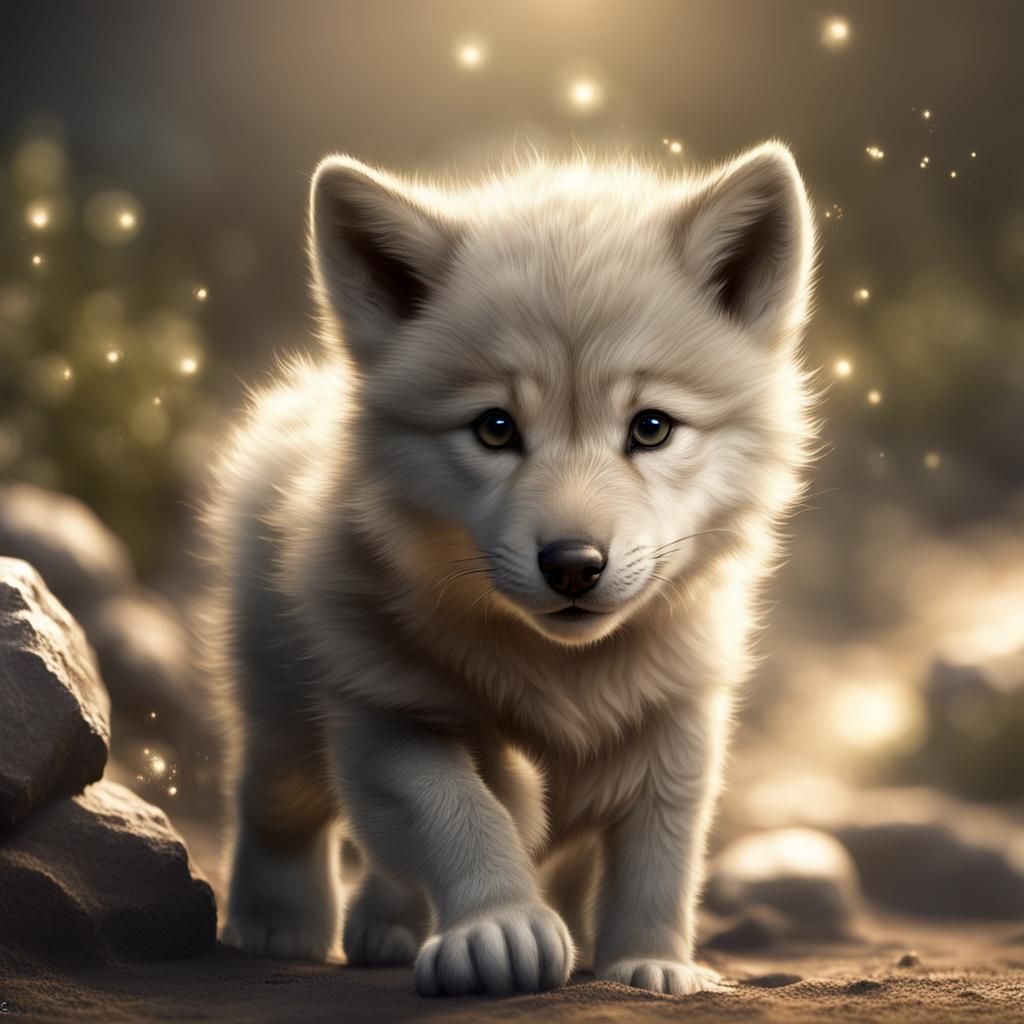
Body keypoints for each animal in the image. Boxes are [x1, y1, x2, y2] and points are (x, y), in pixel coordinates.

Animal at [208, 141, 817, 997]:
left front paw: (653, 965)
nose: (573, 566)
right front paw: (499, 929)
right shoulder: (387, 717)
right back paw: (277, 927)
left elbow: (660, 860)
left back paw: (393, 928)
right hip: (282, 717)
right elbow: (462, 814)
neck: (563, 673)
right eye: (496, 429)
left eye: (651, 428)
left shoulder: (681, 724)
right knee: (276, 806)